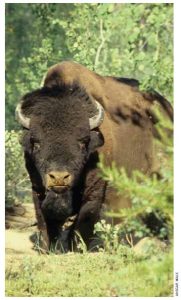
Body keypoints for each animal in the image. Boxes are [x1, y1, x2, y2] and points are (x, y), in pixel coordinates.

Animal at [15, 62, 173, 252]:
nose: (59, 177)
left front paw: (77, 248)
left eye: (83, 142)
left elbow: (83, 222)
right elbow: (45, 223)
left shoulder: (95, 191)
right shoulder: (37, 189)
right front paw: (47, 249)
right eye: (36, 142)